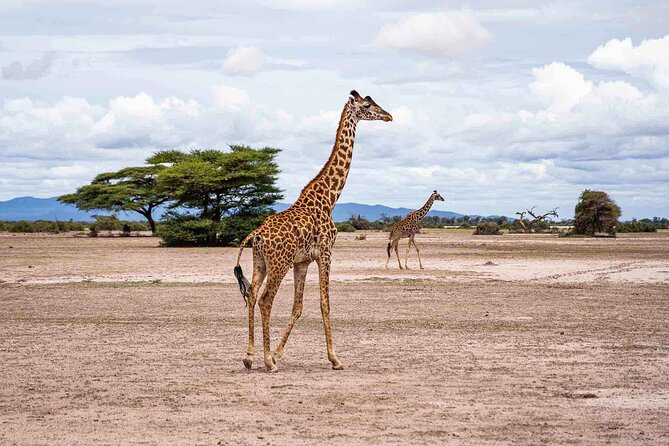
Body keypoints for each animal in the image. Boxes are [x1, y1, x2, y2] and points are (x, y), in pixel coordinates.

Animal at [234, 89, 392, 372]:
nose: (389, 115)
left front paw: (278, 352)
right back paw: (267, 362)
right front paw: (334, 358)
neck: (329, 198)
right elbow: (324, 303)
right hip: (278, 264)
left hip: (260, 262)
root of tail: (257, 234)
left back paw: (250, 356)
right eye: (367, 105)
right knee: (265, 300)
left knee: (251, 295)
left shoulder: (303, 261)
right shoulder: (325, 253)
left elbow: (298, 306)